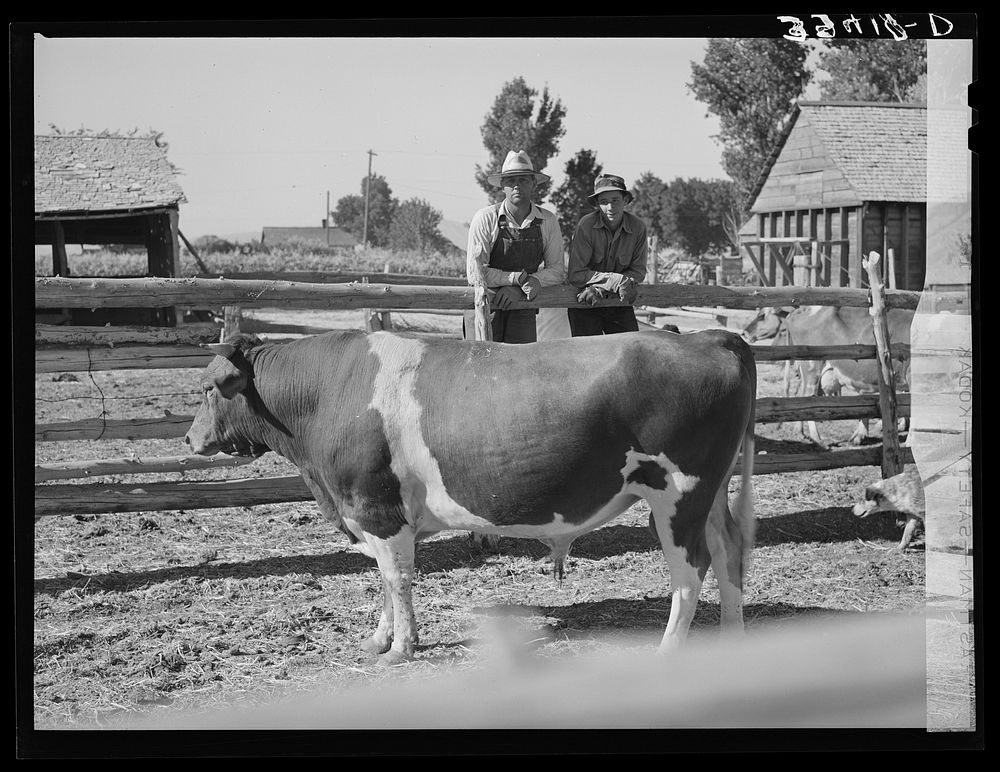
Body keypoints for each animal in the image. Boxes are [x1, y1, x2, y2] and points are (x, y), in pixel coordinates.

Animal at [184, 330, 752, 664]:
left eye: (209, 388)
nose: (190, 439)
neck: (329, 393)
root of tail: (711, 336)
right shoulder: (375, 517)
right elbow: (385, 581)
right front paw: (380, 638)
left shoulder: (378, 510)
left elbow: (397, 580)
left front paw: (401, 647)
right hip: (711, 496)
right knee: (729, 553)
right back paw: (733, 636)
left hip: (679, 496)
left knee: (691, 571)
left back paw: (668, 650)